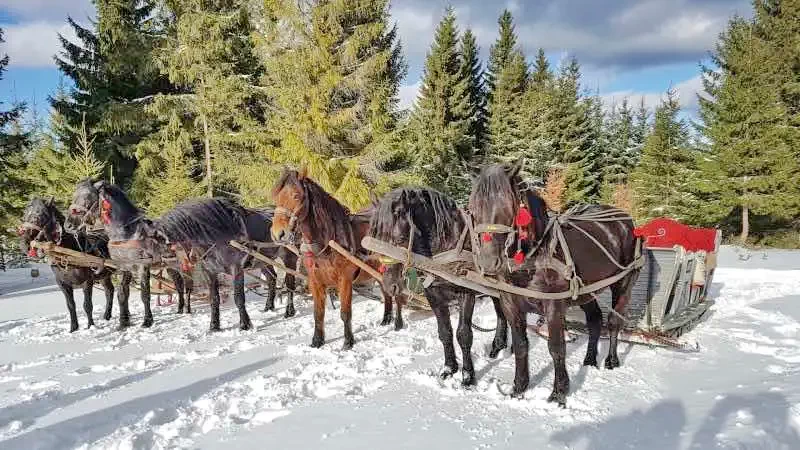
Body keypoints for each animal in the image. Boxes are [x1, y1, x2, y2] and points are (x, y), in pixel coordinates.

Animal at [19, 197, 115, 330]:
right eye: (24, 215)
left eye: (40, 215)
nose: (24, 244)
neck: (67, 252)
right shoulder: (63, 284)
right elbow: (70, 305)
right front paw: (73, 328)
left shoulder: (87, 281)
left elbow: (87, 305)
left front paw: (90, 326)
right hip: (104, 275)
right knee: (109, 291)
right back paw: (107, 315)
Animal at [270, 167, 386, 350]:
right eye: (277, 197)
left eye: (296, 195)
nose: (278, 234)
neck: (328, 242)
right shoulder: (315, 281)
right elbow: (318, 313)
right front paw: (317, 341)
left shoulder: (345, 280)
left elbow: (345, 313)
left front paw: (348, 342)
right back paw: (387, 319)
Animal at [370, 187, 510, 386]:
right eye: (375, 236)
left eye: (400, 238)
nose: (390, 285)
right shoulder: (433, 295)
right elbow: (444, 332)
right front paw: (449, 368)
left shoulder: (466, 294)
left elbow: (463, 334)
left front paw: (468, 376)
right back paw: (499, 345)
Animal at [468, 160, 644, 406]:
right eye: (473, 207)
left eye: (507, 205)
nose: (488, 262)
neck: (536, 256)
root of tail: (625, 220)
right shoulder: (510, 303)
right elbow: (521, 345)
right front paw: (519, 388)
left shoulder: (554, 305)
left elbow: (556, 347)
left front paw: (559, 393)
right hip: (585, 291)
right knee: (594, 320)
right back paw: (590, 359)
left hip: (624, 283)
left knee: (613, 321)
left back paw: (611, 360)